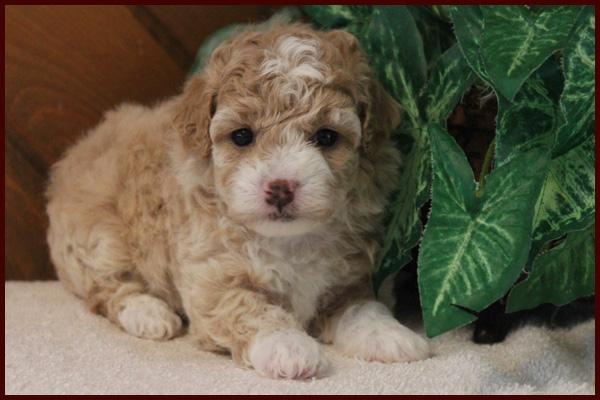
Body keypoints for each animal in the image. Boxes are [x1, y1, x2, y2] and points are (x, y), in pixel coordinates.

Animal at [48, 21, 432, 378]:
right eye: (242, 136)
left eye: (326, 137)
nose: (281, 187)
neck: (291, 240)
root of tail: (78, 152)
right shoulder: (210, 276)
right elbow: (248, 308)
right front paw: (287, 346)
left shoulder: (355, 274)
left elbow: (362, 307)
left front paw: (390, 336)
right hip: (98, 236)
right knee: (107, 288)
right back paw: (149, 313)